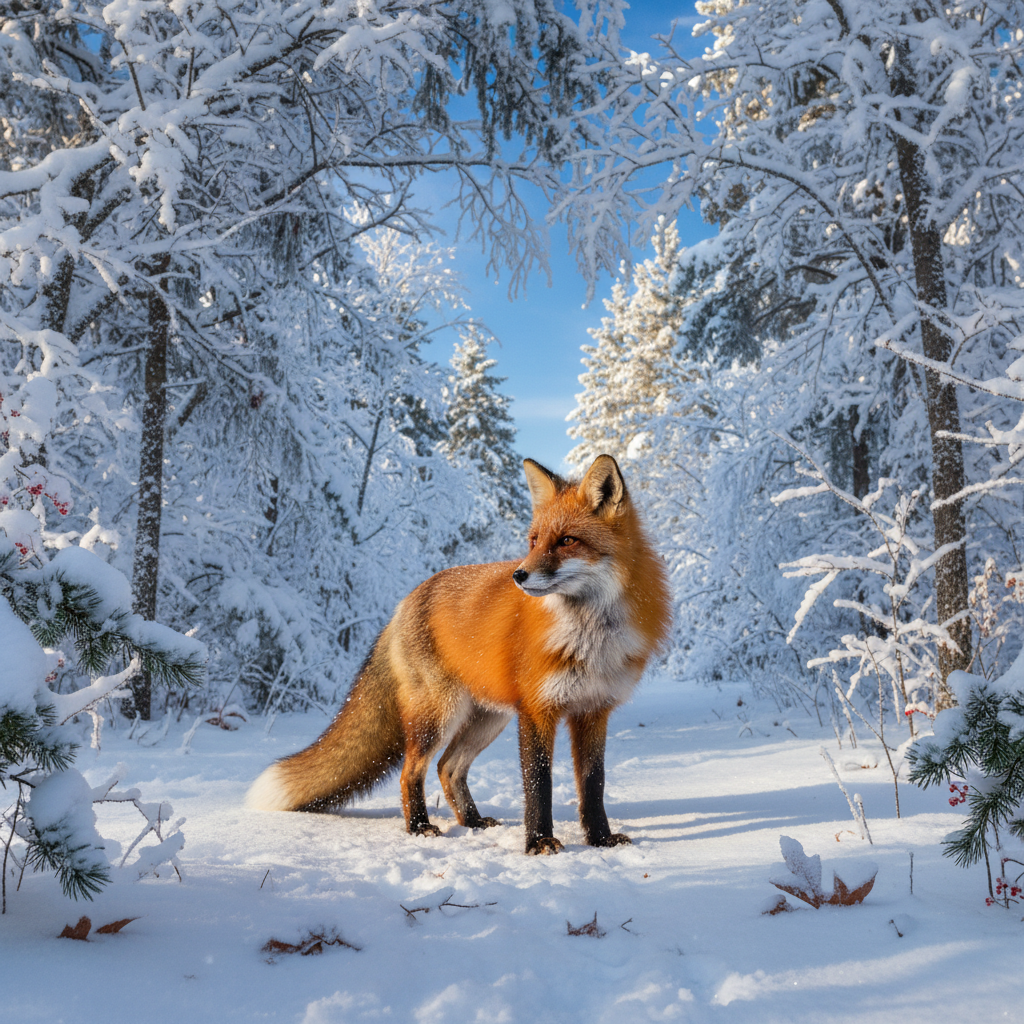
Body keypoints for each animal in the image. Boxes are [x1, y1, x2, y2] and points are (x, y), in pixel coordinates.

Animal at [245, 454, 671, 854]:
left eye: (567, 541)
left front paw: (601, 839)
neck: (589, 633)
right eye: (534, 541)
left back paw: (472, 821)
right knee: (412, 771)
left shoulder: (594, 710)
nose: (519, 575)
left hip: (487, 718)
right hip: (440, 714)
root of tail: (407, 599)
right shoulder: (537, 710)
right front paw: (538, 843)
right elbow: (539, 784)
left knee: (447, 767)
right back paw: (419, 827)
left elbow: (593, 785)